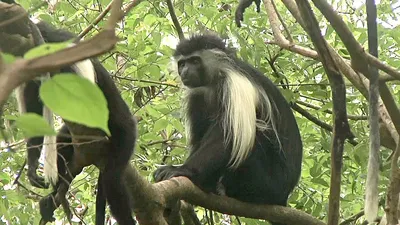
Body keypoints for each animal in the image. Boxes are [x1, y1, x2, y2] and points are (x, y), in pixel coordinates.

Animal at [154, 34, 304, 224]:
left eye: (195, 60)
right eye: (182, 63)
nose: (185, 71)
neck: (214, 79)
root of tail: (283, 195)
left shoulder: (235, 84)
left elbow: (227, 138)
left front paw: (182, 170)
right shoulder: (197, 96)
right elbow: (200, 137)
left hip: (267, 182)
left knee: (252, 137)